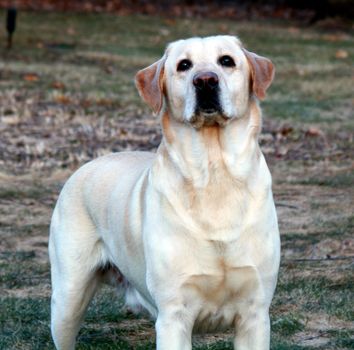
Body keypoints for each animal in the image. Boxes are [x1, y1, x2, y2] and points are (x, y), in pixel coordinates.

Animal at [49, 34, 280, 348]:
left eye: (227, 61)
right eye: (184, 65)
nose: (205, 81)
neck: (214, 175)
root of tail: (84, 166)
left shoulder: (255, 314)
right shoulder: (173, 316)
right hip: (67, 300)